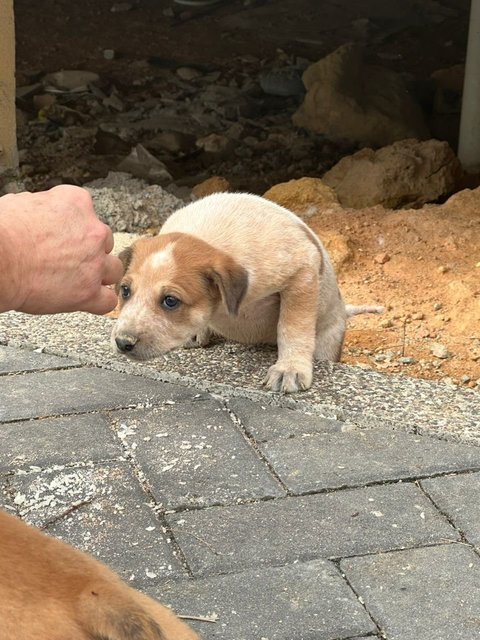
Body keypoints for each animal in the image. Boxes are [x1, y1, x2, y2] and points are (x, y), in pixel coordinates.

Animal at [113, 192, 382, 392]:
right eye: (125, 290)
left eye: (170, 301)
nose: (122, 342)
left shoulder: (303, 272)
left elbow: (293, 326)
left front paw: (290, 369)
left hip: (328, 341)